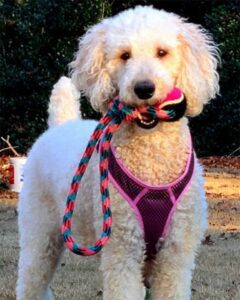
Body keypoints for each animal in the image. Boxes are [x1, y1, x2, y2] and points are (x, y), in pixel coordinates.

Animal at [16, 5, 219, 300]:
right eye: (125, 55)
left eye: (162, 52)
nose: (144, 88)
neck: (152, 162)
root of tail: (61, 123)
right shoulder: (122, 249)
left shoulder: (175, 254)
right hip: (41, 233)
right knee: (31, 281)